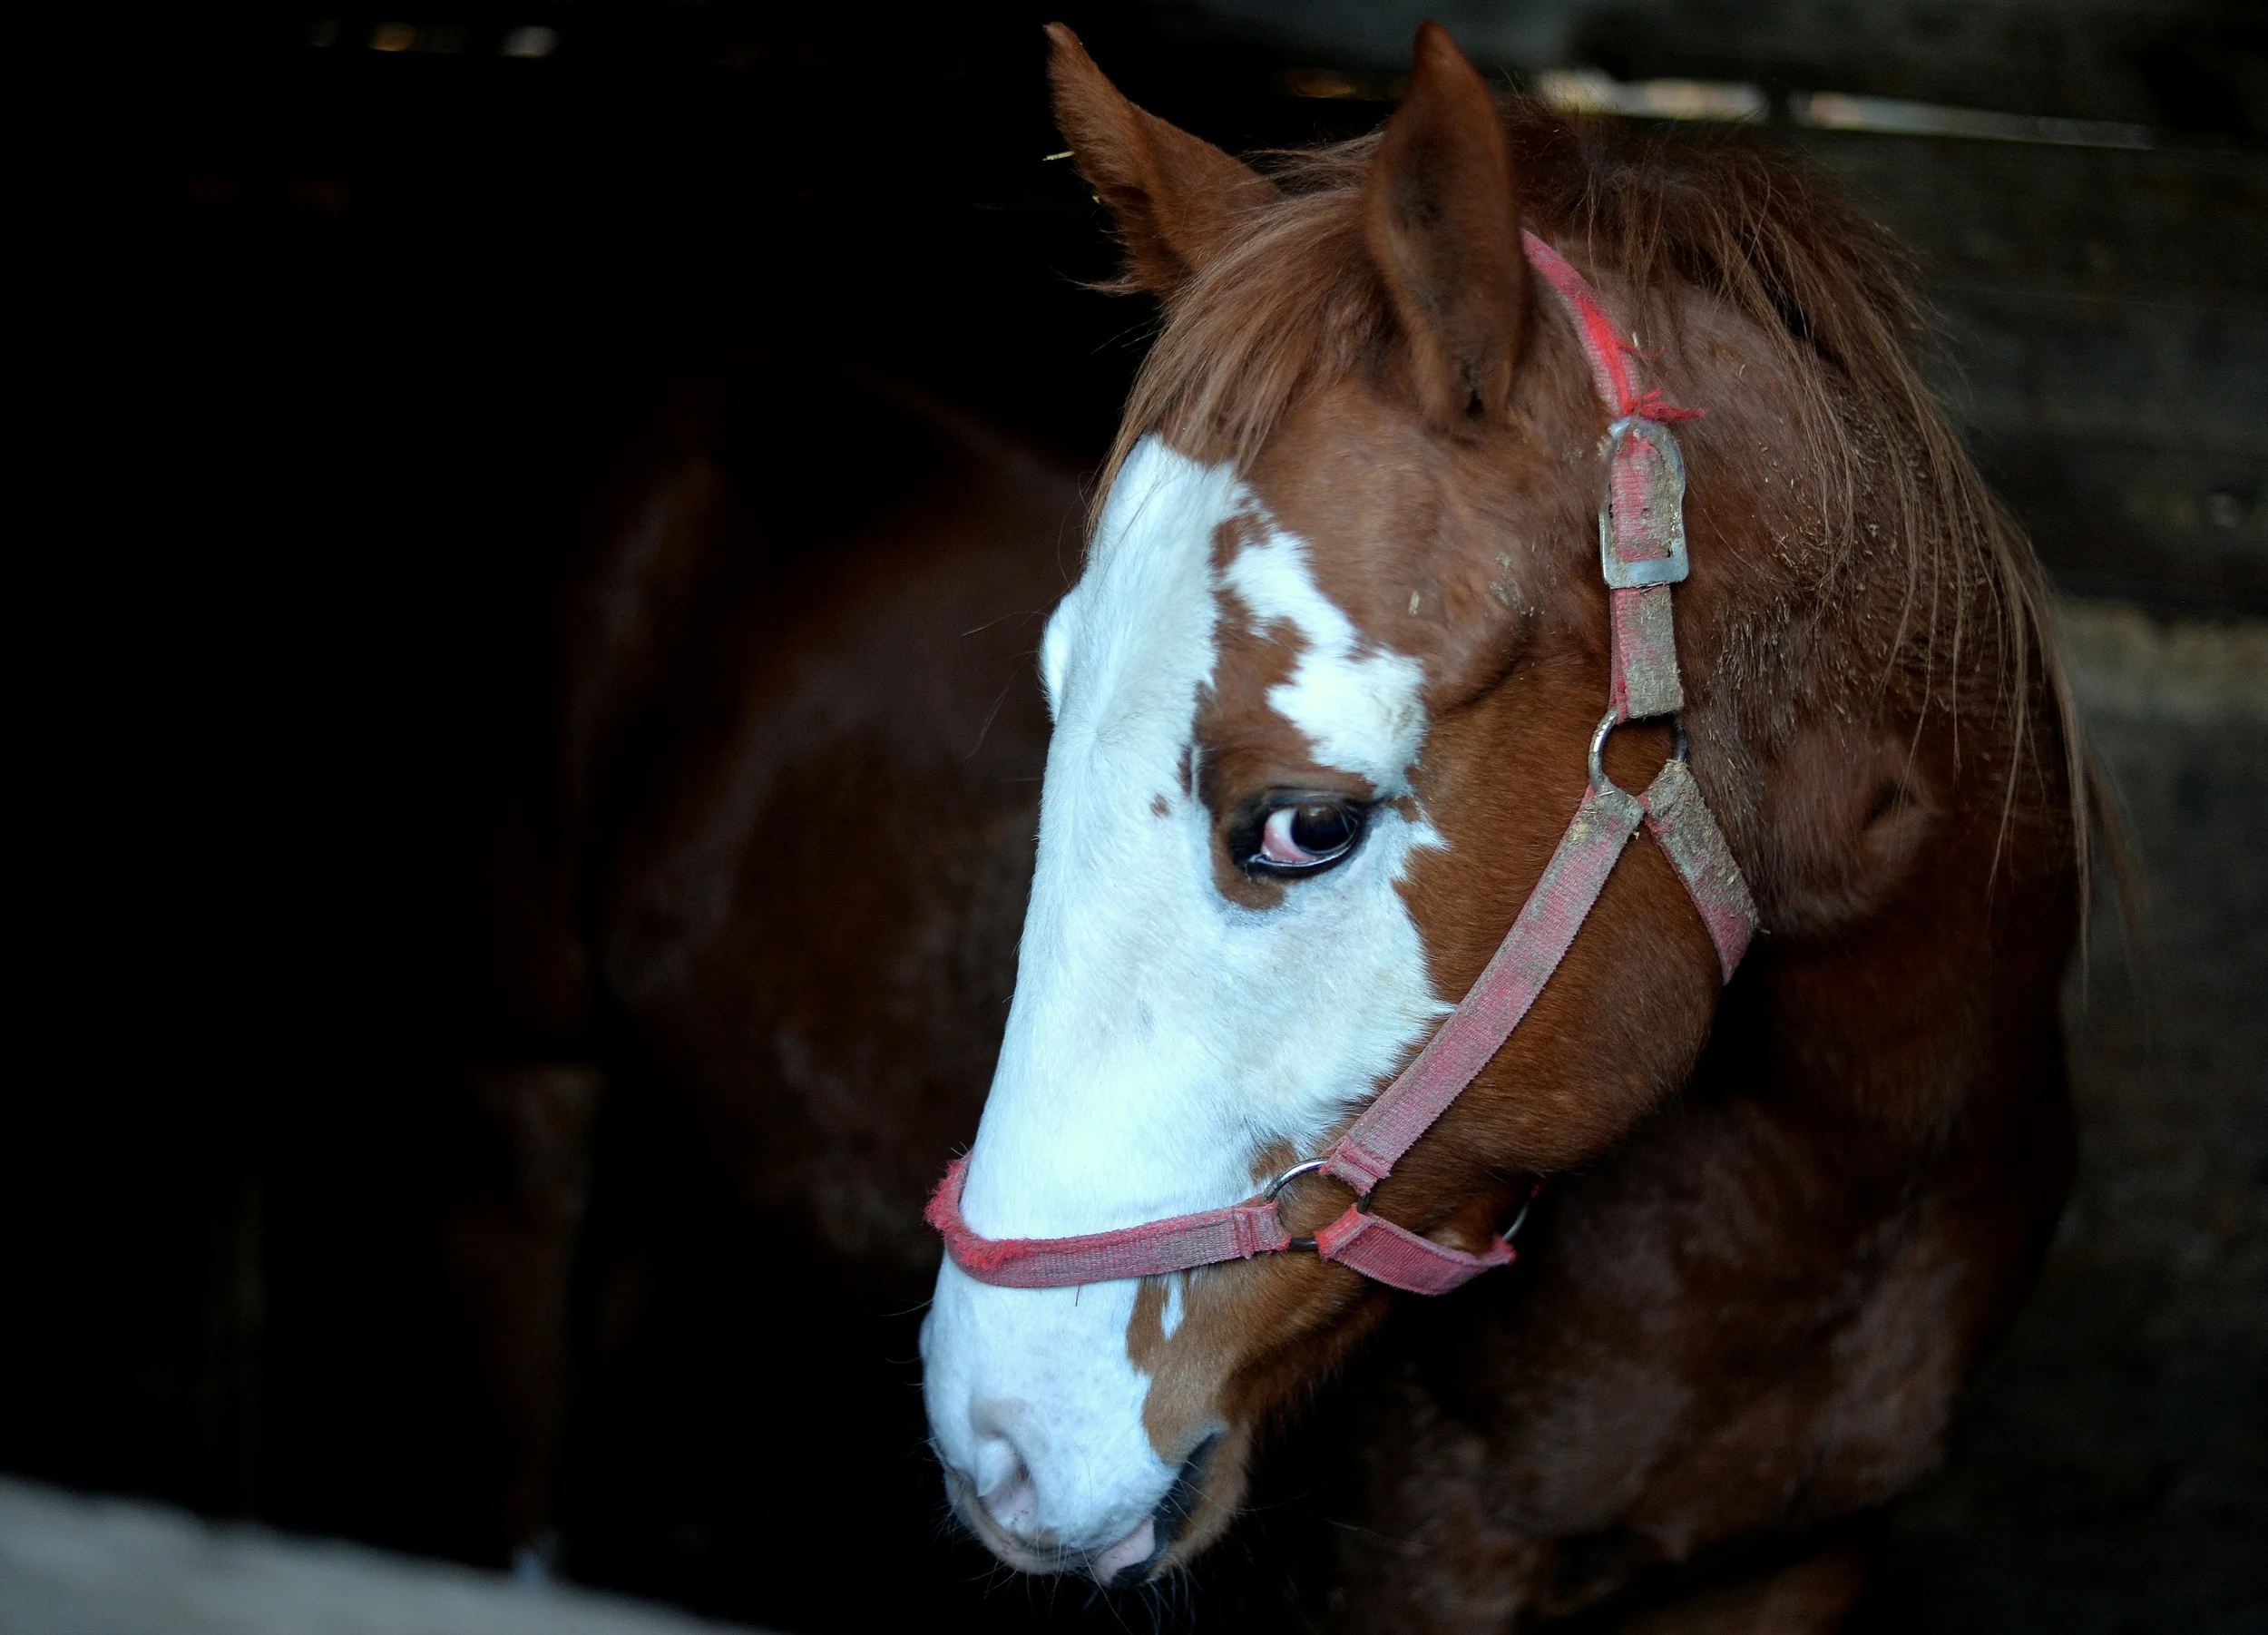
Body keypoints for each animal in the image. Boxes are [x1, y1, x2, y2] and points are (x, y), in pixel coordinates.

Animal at [449, 23, 2083, 1631]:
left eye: (1302, 825)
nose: (999, 1442)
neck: (1831, 1193)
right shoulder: (1418, 1564)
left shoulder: (1802, 1563)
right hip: (532, 1088)